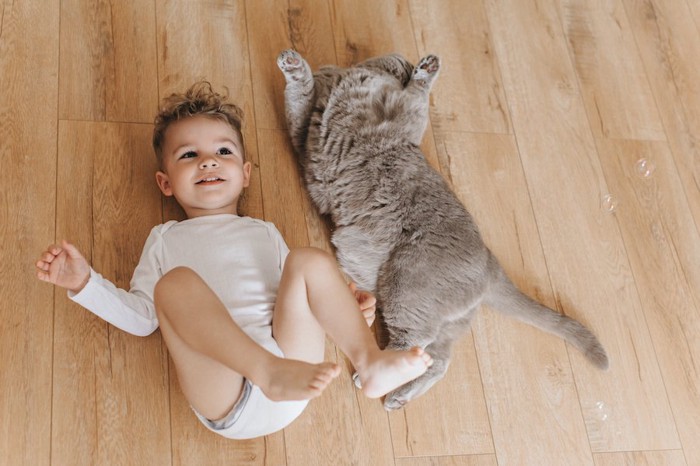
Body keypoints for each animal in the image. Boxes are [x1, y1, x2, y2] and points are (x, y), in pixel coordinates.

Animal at [276, 49, 608, 410]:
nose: (407, 61)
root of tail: (490, 264)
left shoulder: (403, 117)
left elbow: (417, 95)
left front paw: (427, 69)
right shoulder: (306, 136)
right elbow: (299, 99)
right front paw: (295, 67)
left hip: (407, 283)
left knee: (418, 342)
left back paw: (382, 376)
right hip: (430, 308)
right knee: (436, 359)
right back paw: (398, 394)